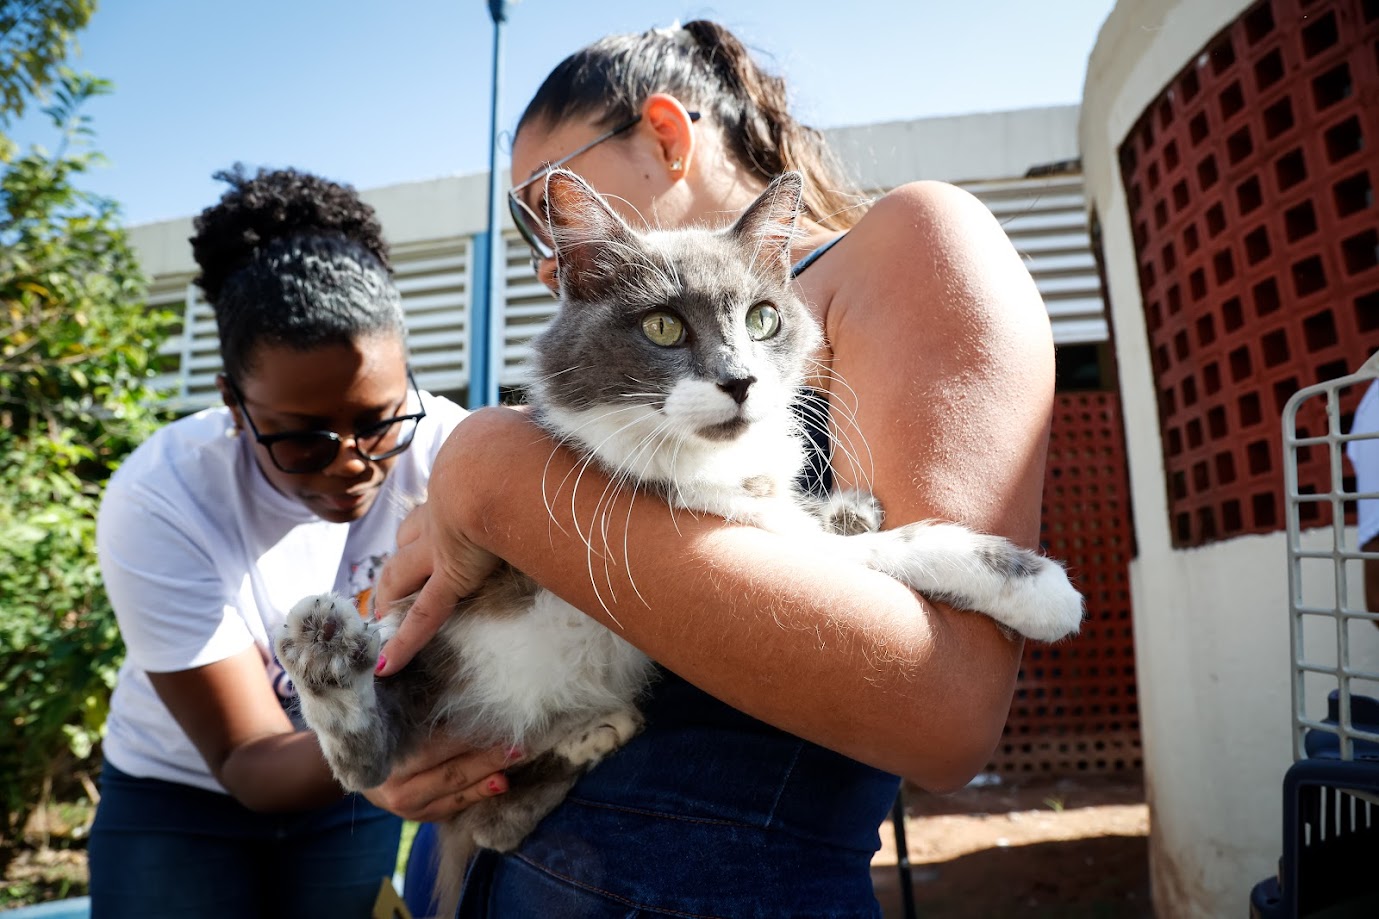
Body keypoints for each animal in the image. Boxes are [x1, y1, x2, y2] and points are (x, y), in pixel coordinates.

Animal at [274, 169, 1081, 910]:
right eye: (662, 326)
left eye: (762, 319)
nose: (741, 381)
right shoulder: (705, 514)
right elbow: (892, 547)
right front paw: (1036, 588)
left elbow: (817, 515)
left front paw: (850, 507)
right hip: (419, 640)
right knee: (372, 761)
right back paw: (327, 653)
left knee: (497, 818)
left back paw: (591, 732)